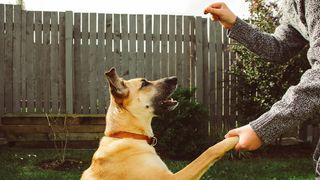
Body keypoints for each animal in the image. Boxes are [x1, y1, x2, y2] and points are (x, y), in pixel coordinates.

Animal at [81, 68, 239, 180]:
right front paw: (234, 138)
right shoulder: (172, 178)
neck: (128, 135)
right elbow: (208, 152)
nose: (174, 78)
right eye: (144, 83)